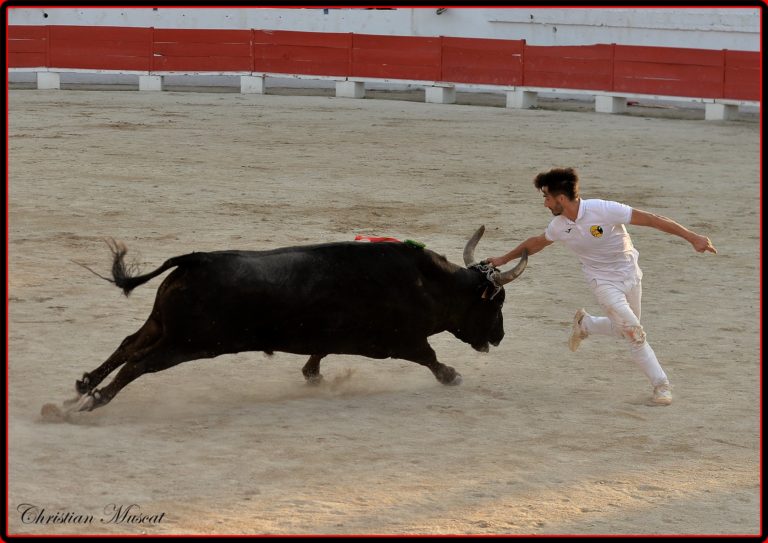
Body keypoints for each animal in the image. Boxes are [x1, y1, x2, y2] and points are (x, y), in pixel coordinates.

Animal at [70, 226, 528, 412]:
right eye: (496, 304)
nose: (500, 337)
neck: (429, 282)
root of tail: (196, 259)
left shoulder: (329, 335)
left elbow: (317, 355)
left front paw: (314, 377)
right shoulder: (403, 341)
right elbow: (430, 358)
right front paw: (453, 376)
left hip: (163, 327)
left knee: (128, 345)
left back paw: (81, 388)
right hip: (185, 343)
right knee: (138, 363)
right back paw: (94, 401)